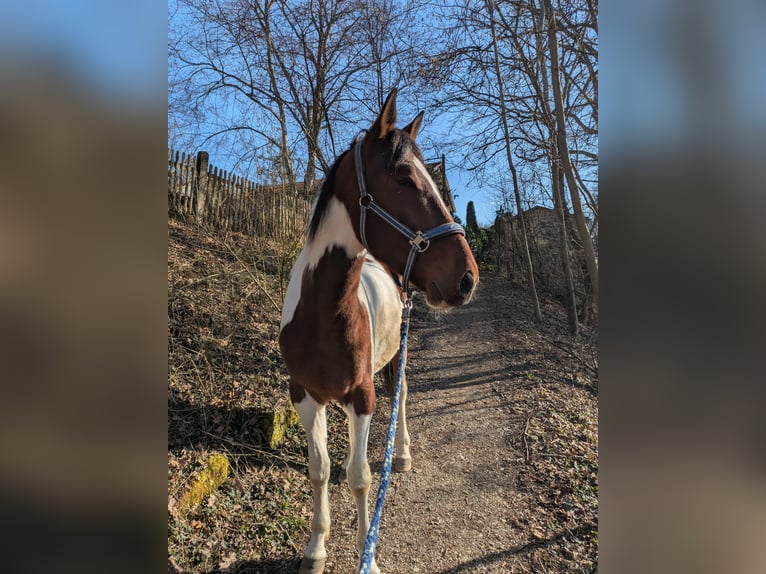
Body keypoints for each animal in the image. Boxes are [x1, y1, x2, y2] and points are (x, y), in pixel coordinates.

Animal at [278, 89, 479, 574]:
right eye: (404, 179)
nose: (468, 277)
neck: (321, 314)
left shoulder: (361, 397)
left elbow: (361, 477)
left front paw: (364, 555)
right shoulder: (303, 395)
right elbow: (319, 470)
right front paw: (316, 548)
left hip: (395, 357)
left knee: (401, 396)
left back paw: (401, 452)